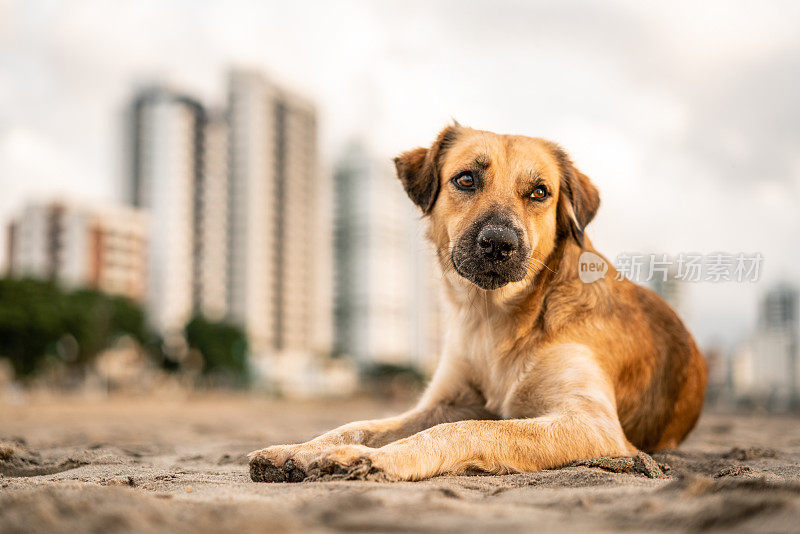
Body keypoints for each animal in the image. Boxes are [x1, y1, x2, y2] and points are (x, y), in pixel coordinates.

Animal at [250, 125, 708, 486]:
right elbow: (358, 425)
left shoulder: (592, 425)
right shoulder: (442, 402)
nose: (499, 244)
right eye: (467, 179)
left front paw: (371, 460)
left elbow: (469, 430)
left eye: (539, 192)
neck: (495, 320)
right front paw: (298, 449)